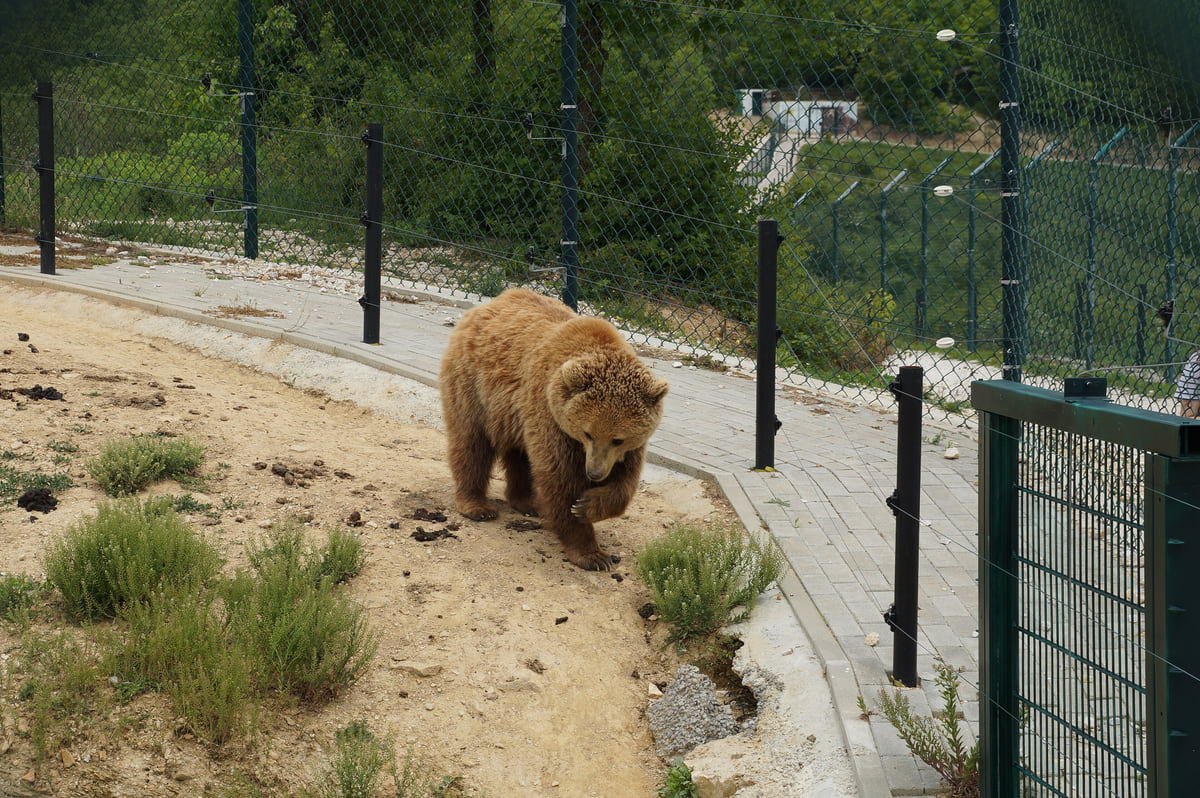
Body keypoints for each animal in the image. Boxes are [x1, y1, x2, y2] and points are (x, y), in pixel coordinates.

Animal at [439, 288, 669, 571]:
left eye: (618, 439)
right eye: (588, 433)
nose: (594, 473)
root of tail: (486, 305)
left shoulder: (628, 446)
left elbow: (625, 481)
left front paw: (587, 505)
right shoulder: (551, 418)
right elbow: (560, 477)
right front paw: (593, 553)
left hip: (514, 416)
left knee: (521, 456)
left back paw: (527, 501)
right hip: (474, 387)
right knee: (472, 443)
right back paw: (477, 506)